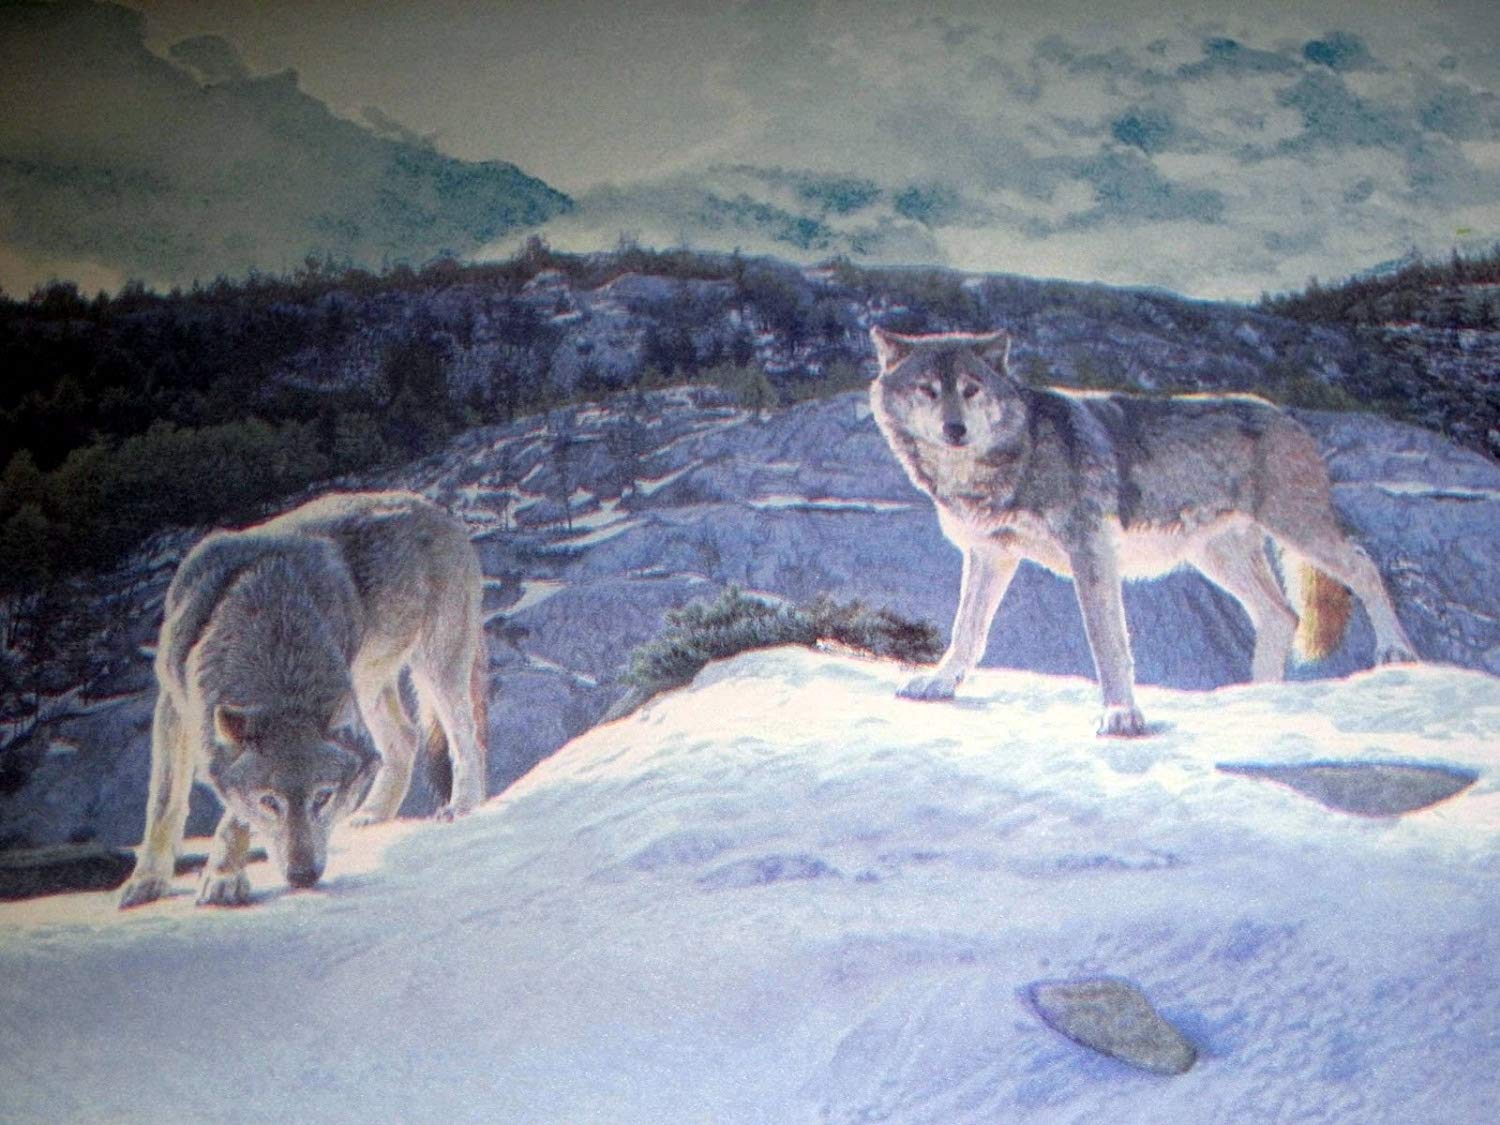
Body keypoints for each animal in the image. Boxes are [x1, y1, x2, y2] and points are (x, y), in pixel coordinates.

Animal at [118, 491, 488, 908]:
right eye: (270, 802)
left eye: (323, 797)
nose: (303, 876)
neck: (261, 608)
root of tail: (431, 506)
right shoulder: (173, 704)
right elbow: (164, 803)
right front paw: (147, 882)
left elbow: (232, 817)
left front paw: (223, 878)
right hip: (365, 688)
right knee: (406, 740)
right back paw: (374, 813)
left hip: (435, 667)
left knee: (465, 739)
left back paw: (461, 806)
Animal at [870, 326, 1416, 736]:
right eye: (928, 389)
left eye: (970, 389)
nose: (954, 430)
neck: (1010, 459)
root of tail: (1286, 415)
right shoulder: (989, 554)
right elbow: (966, 631)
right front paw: (938, 685)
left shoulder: (1090, 553)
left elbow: (1108, 644)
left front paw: (1121, 716)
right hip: (1217, 559)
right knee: (1281, 614)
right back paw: (1259, 693)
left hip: (1298, 532)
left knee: (1363, 567)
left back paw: (1396, 653)